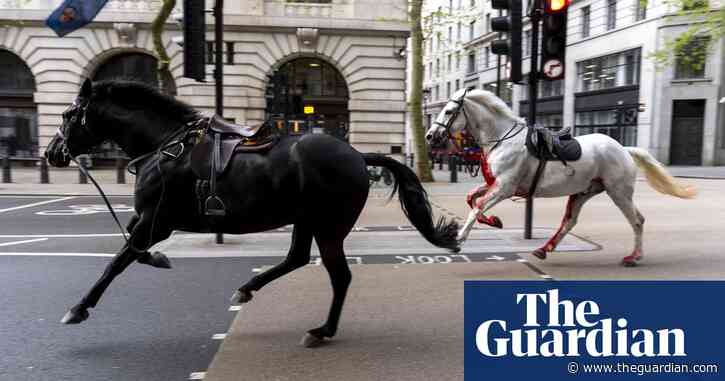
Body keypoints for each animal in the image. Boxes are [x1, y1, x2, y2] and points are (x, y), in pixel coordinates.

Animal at [45, 78, 456, 346]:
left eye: (67, 114)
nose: (51, 153)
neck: (164, 146)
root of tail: (357, 154)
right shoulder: (148, 220)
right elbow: (132, 249)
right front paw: (159, 259)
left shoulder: (156, 221)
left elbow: (118, 260)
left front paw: (78, 308)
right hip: (306, 220)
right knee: (296, 258)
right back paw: (248, 289)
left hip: (328, 226)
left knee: (339, 276)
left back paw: (322, 331)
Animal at [424, 88, 696, 266]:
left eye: (449, 111)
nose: (429, 136)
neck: (502, 138)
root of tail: (624, 149)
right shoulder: (495, 184)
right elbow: (472, 199)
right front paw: (494, 221)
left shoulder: (505, 187)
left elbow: (477, 206)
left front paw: (458, 239)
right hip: (583, 192)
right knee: (569, 222)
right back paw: (545, 249)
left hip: (618, 192)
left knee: (637, 220)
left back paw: (634, 257)